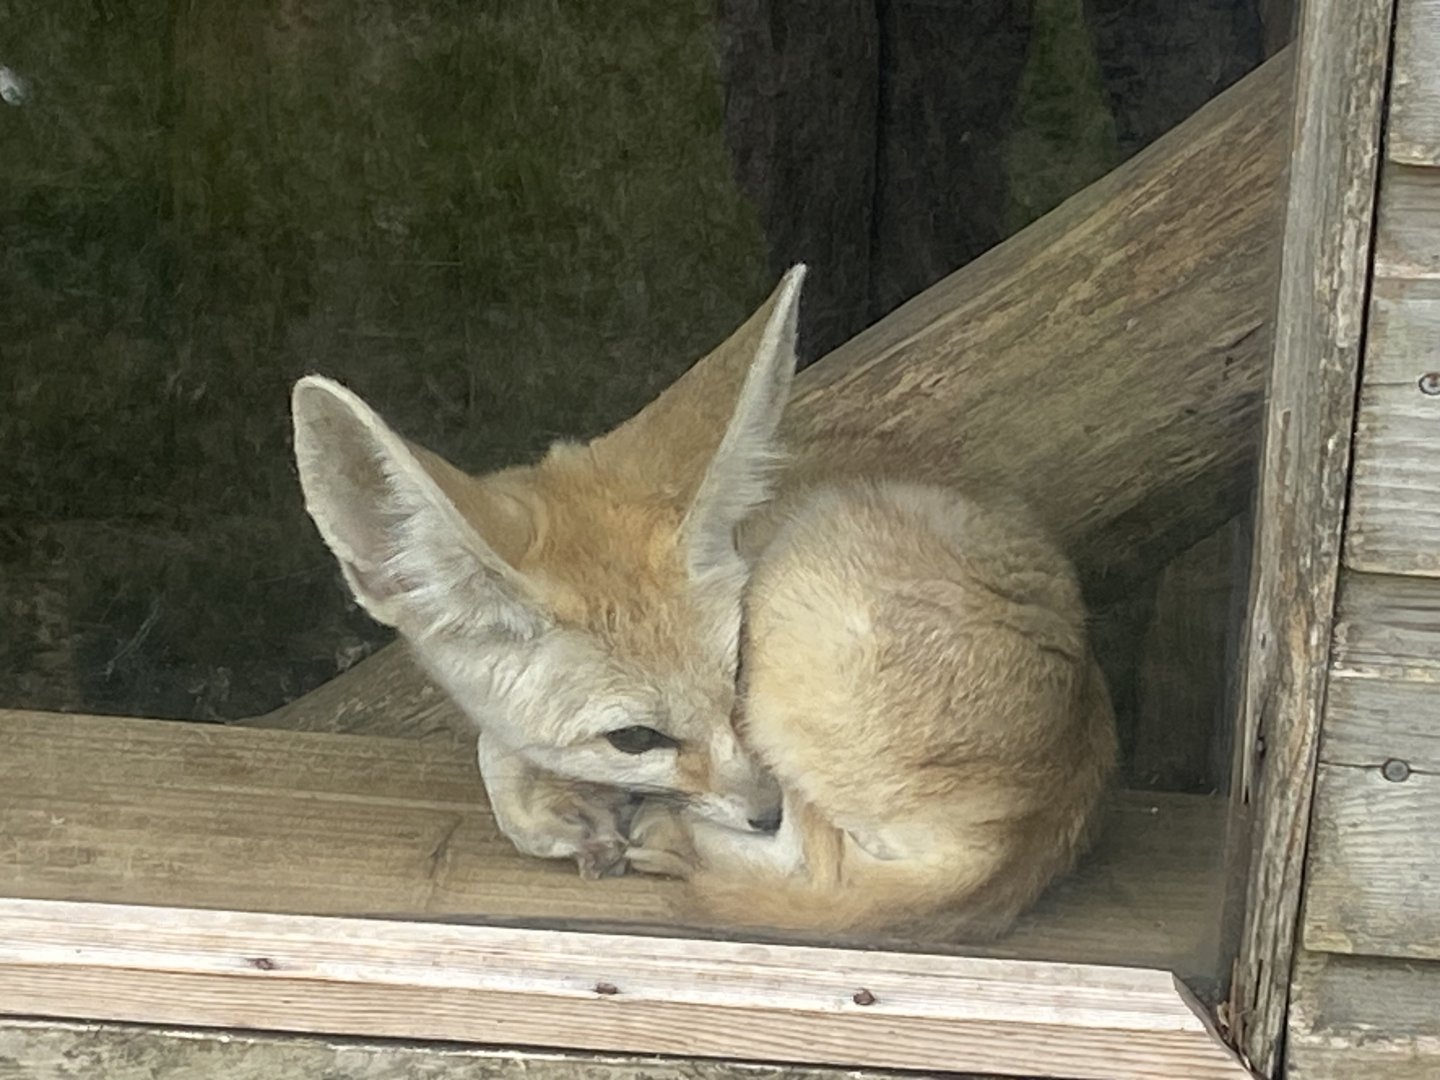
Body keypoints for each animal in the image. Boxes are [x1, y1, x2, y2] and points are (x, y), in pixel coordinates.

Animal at [290, 264, 1117, 937]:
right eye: (635, 738)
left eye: (737, 676)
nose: (765, 808)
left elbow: (497, 752)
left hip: (802, 590)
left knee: (817, 868)